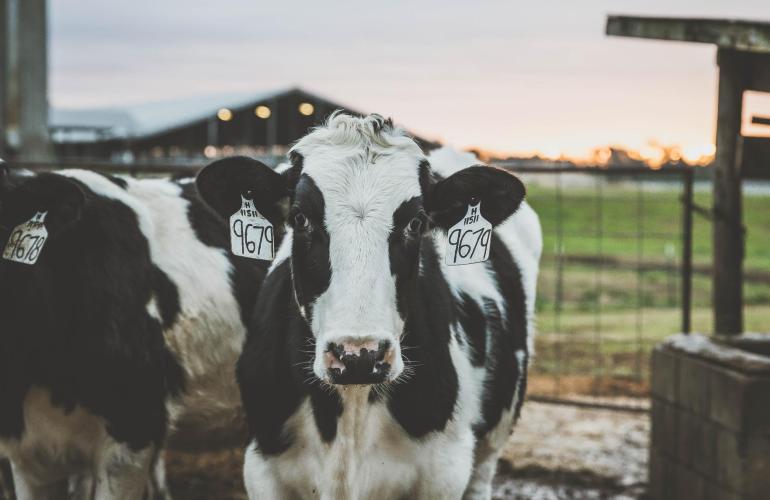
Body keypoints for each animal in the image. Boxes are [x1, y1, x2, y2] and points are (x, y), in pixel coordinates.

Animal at [196, 112, 542, 499]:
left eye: (416, 222)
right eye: (300, 218)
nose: (359, 355)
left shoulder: (445, 469)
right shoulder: (261, 466)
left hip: (493, 439)